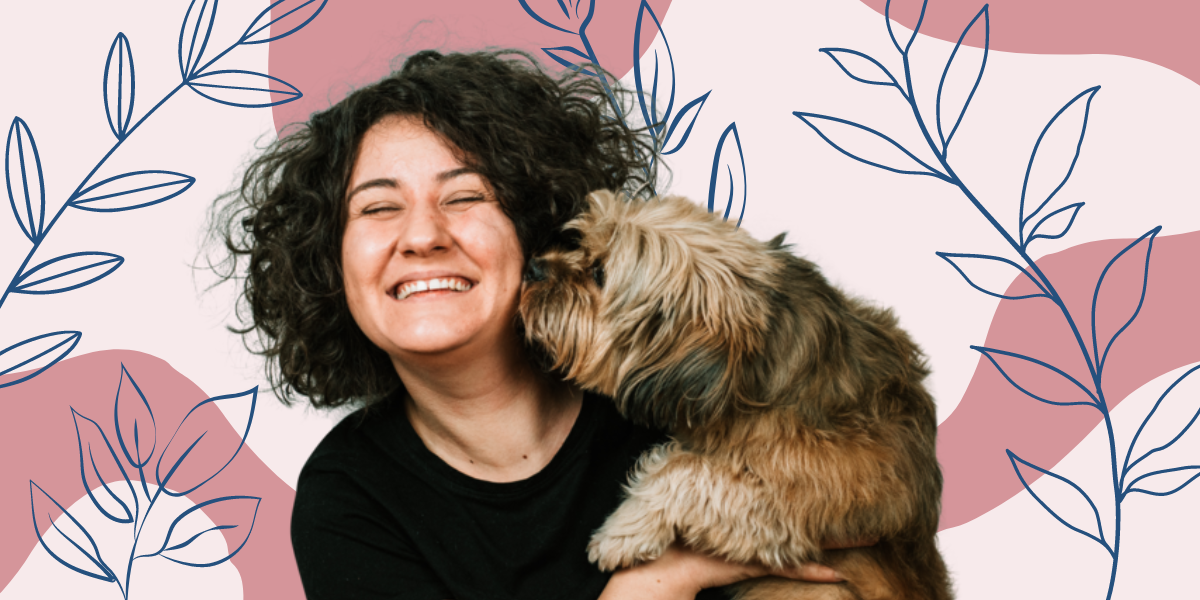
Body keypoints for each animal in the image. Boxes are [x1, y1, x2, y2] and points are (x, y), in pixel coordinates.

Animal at [519, 190, 952, 600]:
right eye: (580, 242)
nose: (533, 267)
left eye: (599, 272)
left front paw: (622, 531)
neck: (754, 371)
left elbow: (688, 470)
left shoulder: (810, 498)